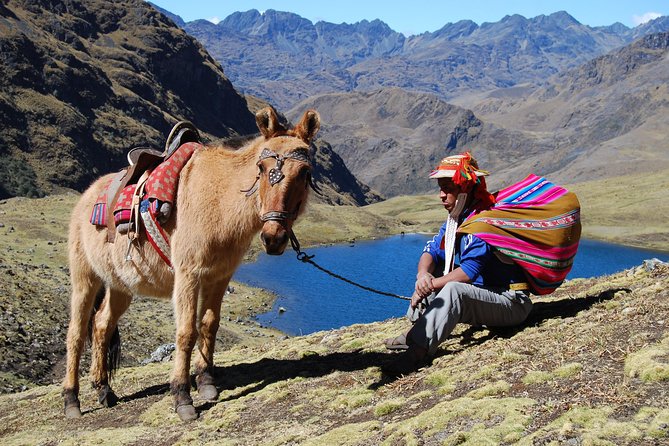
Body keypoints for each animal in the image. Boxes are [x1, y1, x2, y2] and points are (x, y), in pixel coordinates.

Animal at [63, 108, 320, 422]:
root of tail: (86, 197)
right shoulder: (187, 276)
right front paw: (183, 397)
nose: (273, 238)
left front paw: (206, 383)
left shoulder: (219, 277)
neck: (218, 202)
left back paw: (103, 390)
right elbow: (186, 331)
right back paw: (71, 400)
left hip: (120, 286)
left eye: (304, 172)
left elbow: (209, 325)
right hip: (85, 279)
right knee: (76, 334)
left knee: (101, 326)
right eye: (261, 167)